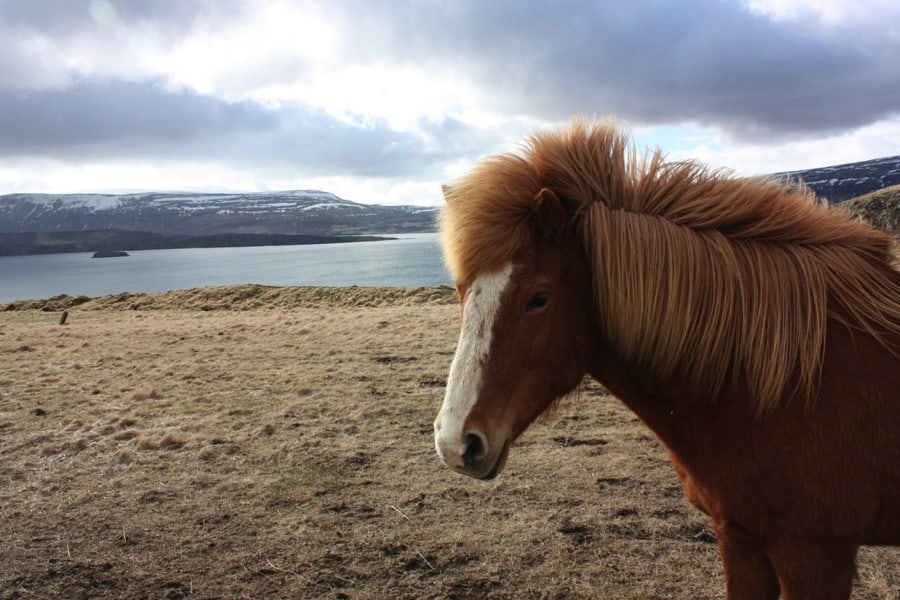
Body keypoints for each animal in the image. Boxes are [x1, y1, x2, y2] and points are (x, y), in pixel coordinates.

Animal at [432, 120, 896, 600]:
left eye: (538, 298)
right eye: (461, 291)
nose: (455, 444)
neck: (786, 386)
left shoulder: (816, 557)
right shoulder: (740, 540)